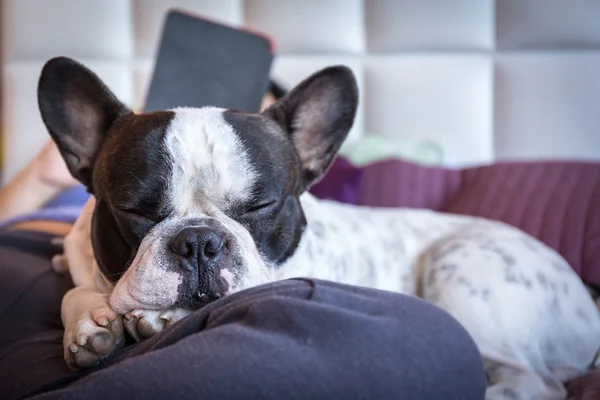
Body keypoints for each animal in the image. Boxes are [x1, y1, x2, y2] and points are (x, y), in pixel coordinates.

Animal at [39, 57, 596, 400]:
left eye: (262, 204)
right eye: (134, 210)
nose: (199, 242)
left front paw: (144, 321)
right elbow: (73, 289)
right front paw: (89, 323)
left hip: (459, 268)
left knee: (532, 379)